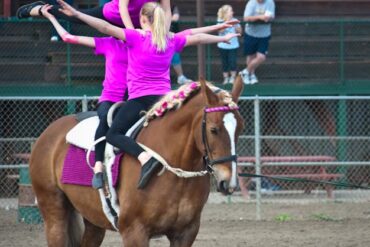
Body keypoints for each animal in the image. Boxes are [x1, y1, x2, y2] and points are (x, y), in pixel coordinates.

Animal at [30, 76, 244, 246]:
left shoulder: (185, 233)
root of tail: (50, 132)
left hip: (92, 220)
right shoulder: (134, 232)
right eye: (214, 129)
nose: (229, 181)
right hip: (54, 214)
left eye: (240, 128)